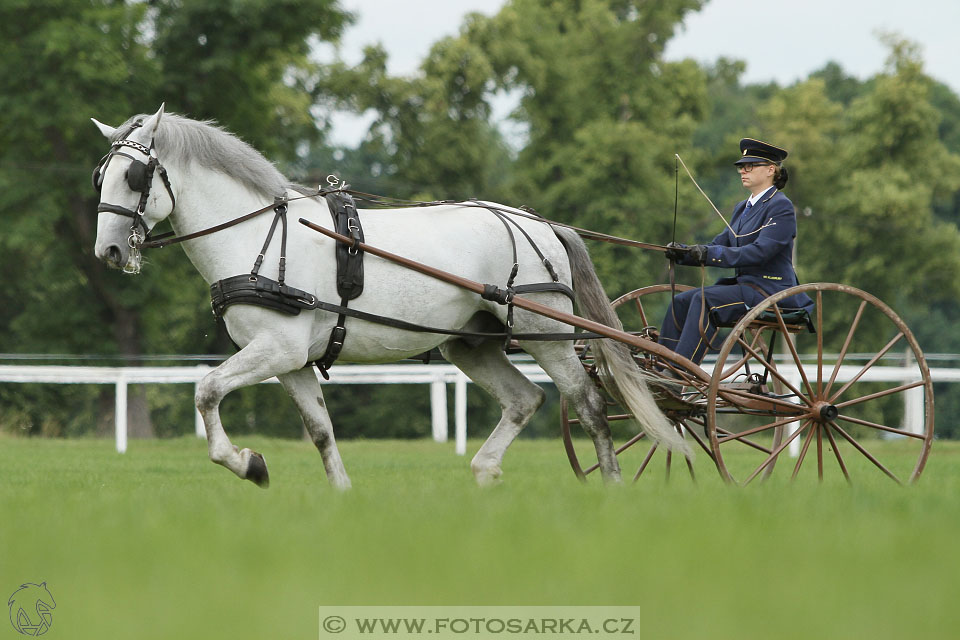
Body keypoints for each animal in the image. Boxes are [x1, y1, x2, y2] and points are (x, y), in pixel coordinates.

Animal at [90, 105, 688, 488]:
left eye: (136, 175)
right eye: (101, 176)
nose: (110, 251)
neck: (257, 234)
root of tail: (538, 222)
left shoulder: (276, 350)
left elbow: (207, 390)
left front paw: (247, 464)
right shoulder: (293, 362)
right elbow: (321, 431)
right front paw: (340, 497)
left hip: (547, 336)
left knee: (587, 402)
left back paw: (611, 486)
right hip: (470, 344)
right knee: (525, 400)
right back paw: (485, 472)